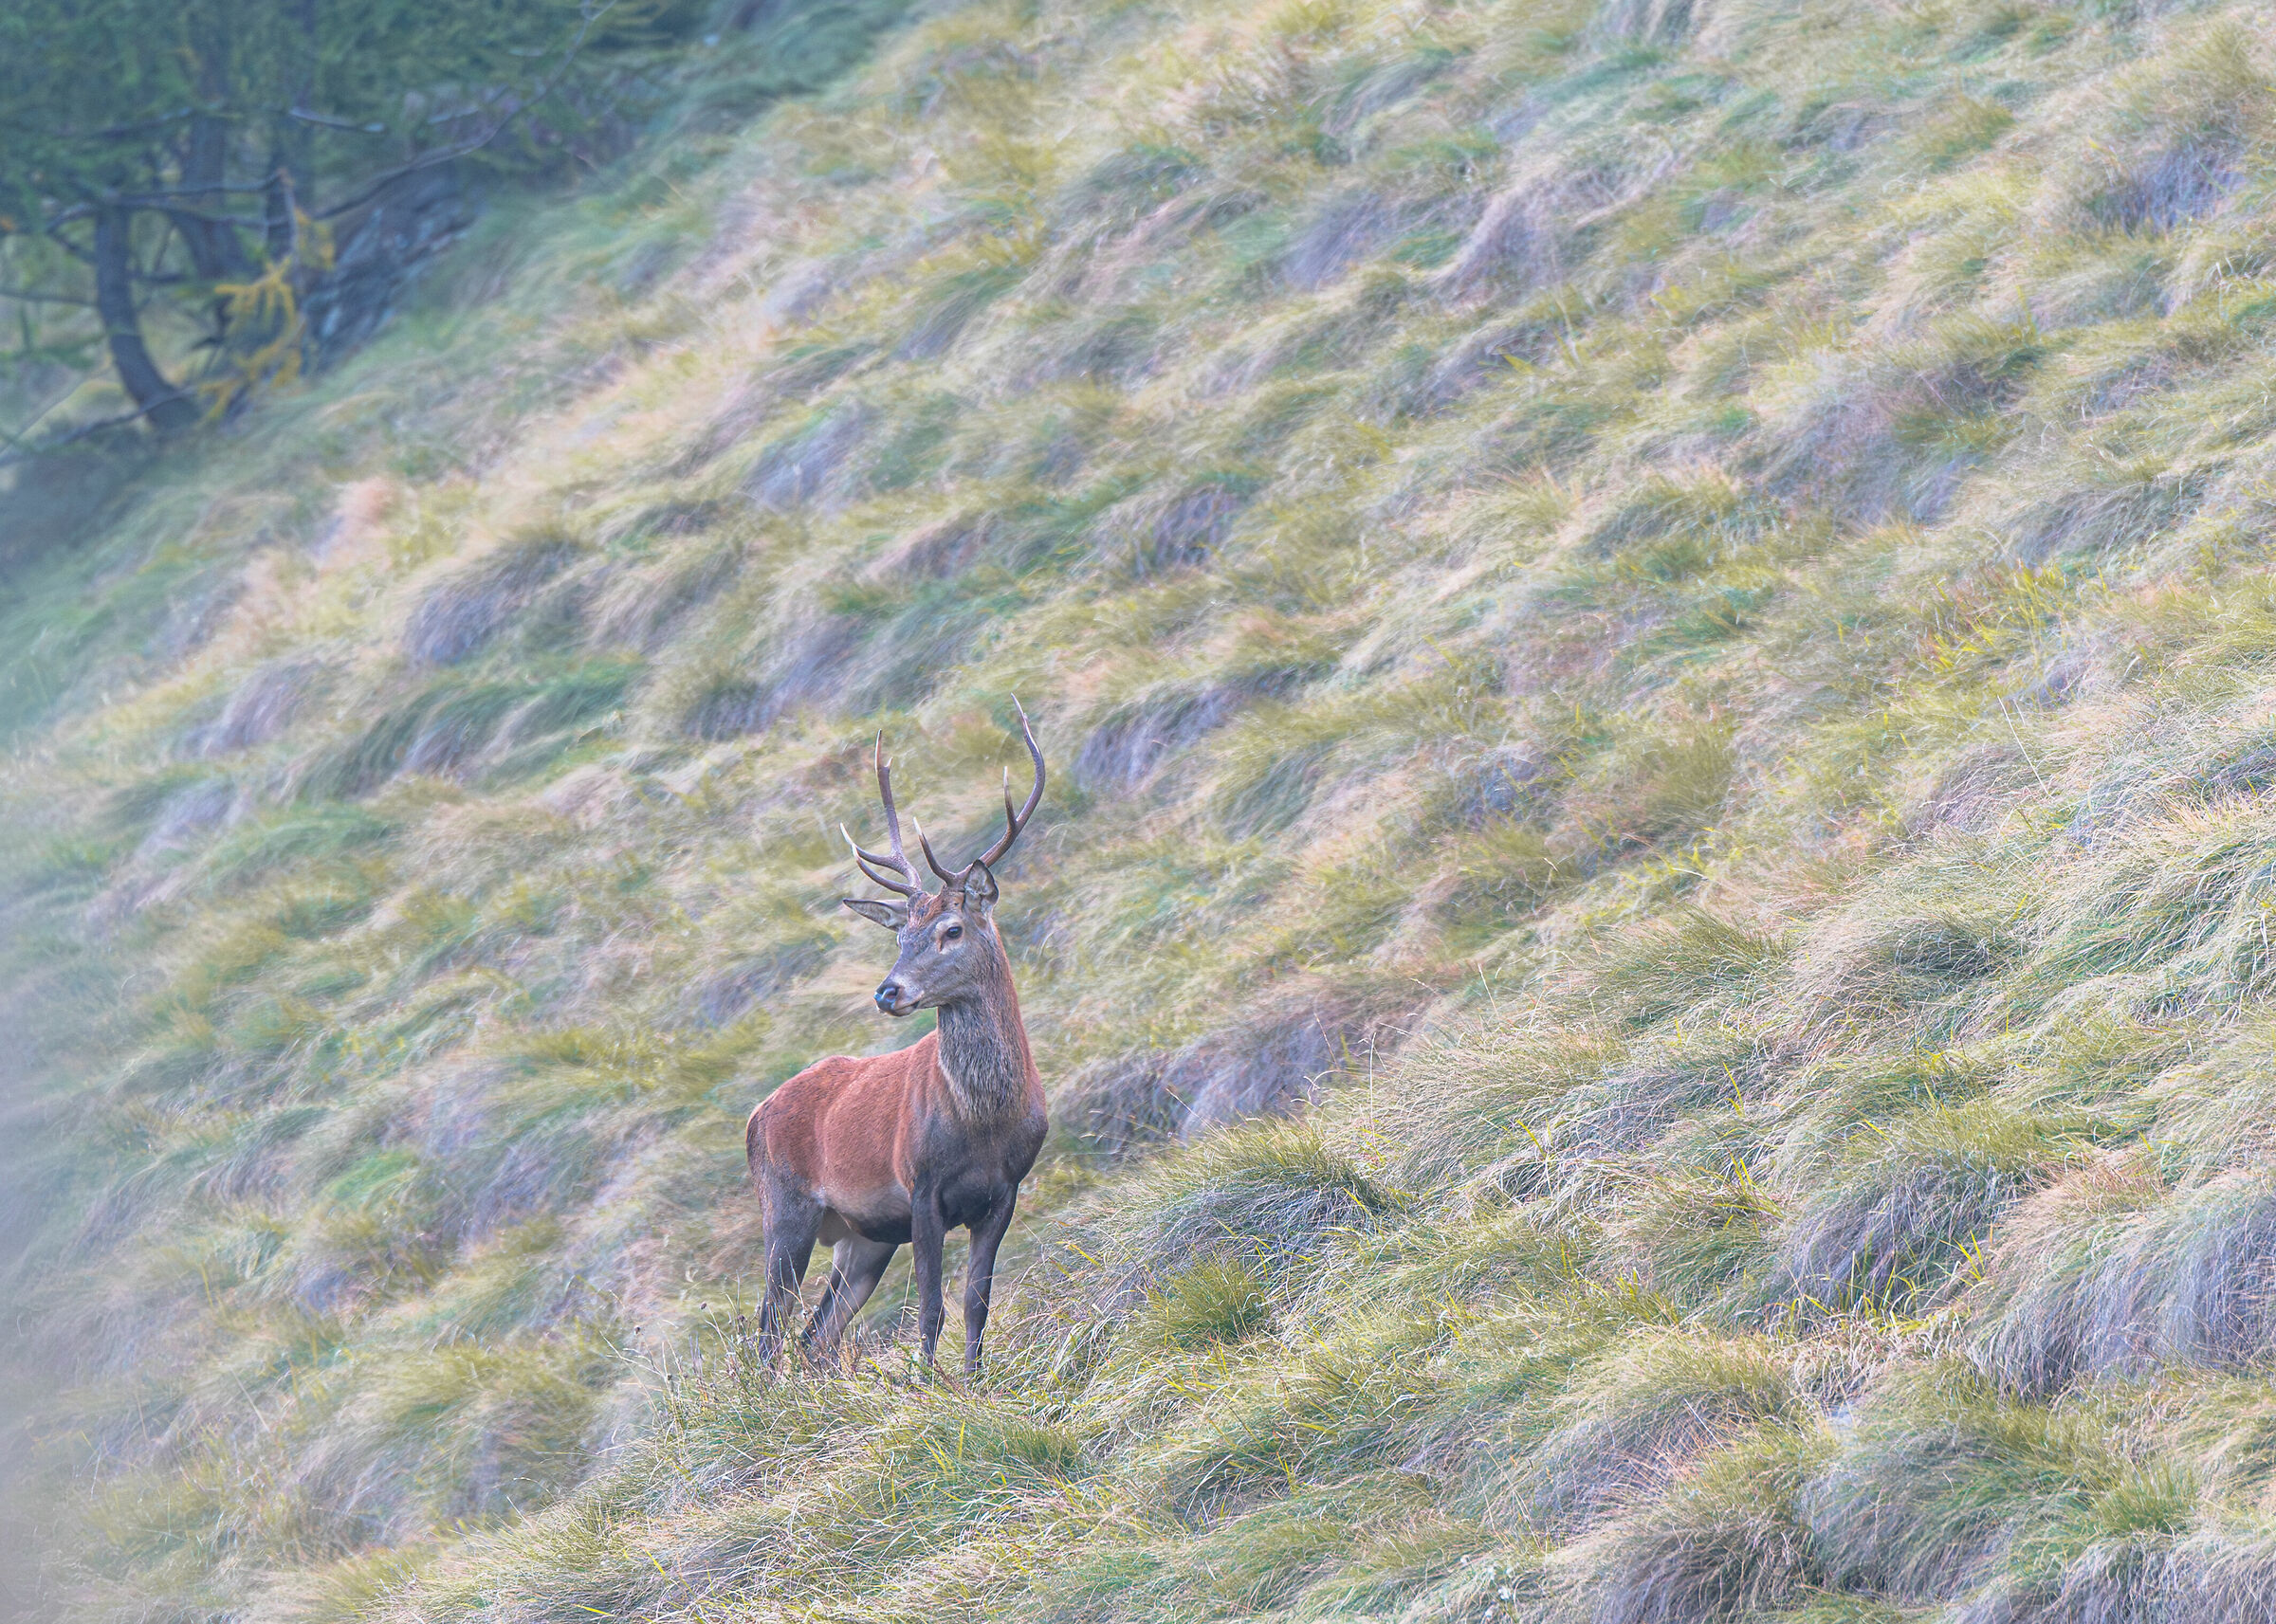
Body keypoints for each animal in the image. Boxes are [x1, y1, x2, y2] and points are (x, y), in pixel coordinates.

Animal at [745, 705, 1048, 1379]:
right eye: (900, 937)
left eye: (951, 929)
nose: (888, 992)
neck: (982, 1120)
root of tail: (755, 1114)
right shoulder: (921, 1187)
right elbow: (931, 1306)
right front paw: (930, 1385)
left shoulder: (1006, 1190)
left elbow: (975, 1302)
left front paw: (972, 1382)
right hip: (785, 1207)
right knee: (767, 1332)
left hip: (863, 1237)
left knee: (815, 1336)